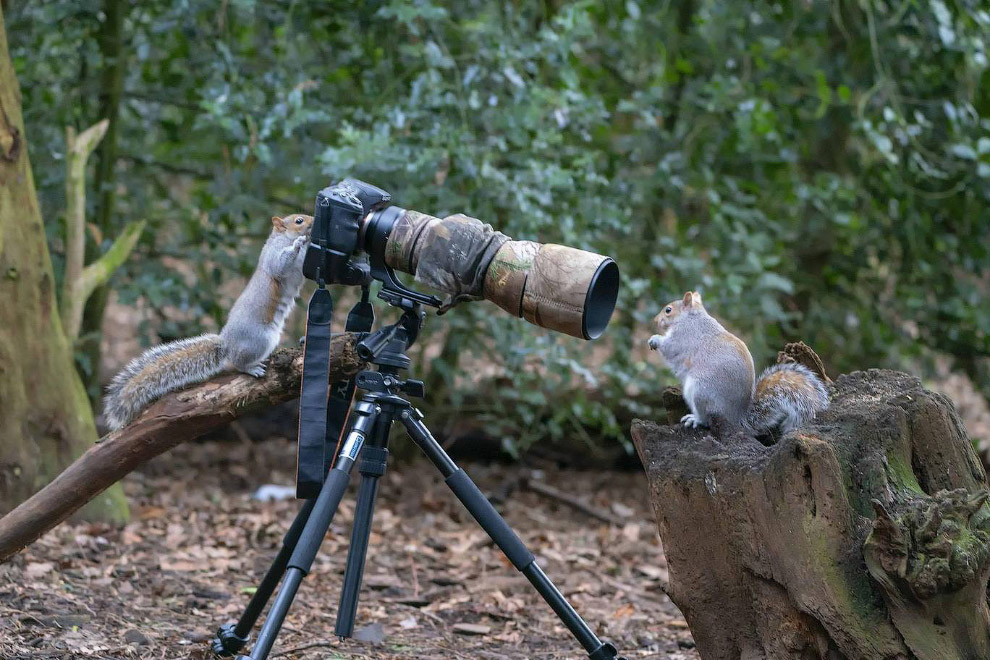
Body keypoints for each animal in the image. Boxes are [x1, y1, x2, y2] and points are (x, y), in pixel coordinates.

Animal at [104, 211, 314, 428]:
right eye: (298, 220)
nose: (313, 221)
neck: (282, 237)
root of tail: (227, 342)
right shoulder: (274, 257)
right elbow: (281, 264)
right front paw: (299, 243)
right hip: (261, 339)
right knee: (239, 362)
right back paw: (252, 368)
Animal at [648, 288, 832, 434]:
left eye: (668, 310)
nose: (654, 320)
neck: (691, 317)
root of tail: (737, 418)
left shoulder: (683, 336)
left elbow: (670, 347)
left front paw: (655, 339)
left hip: (700, 391)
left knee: (706, 418)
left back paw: (695, 419)